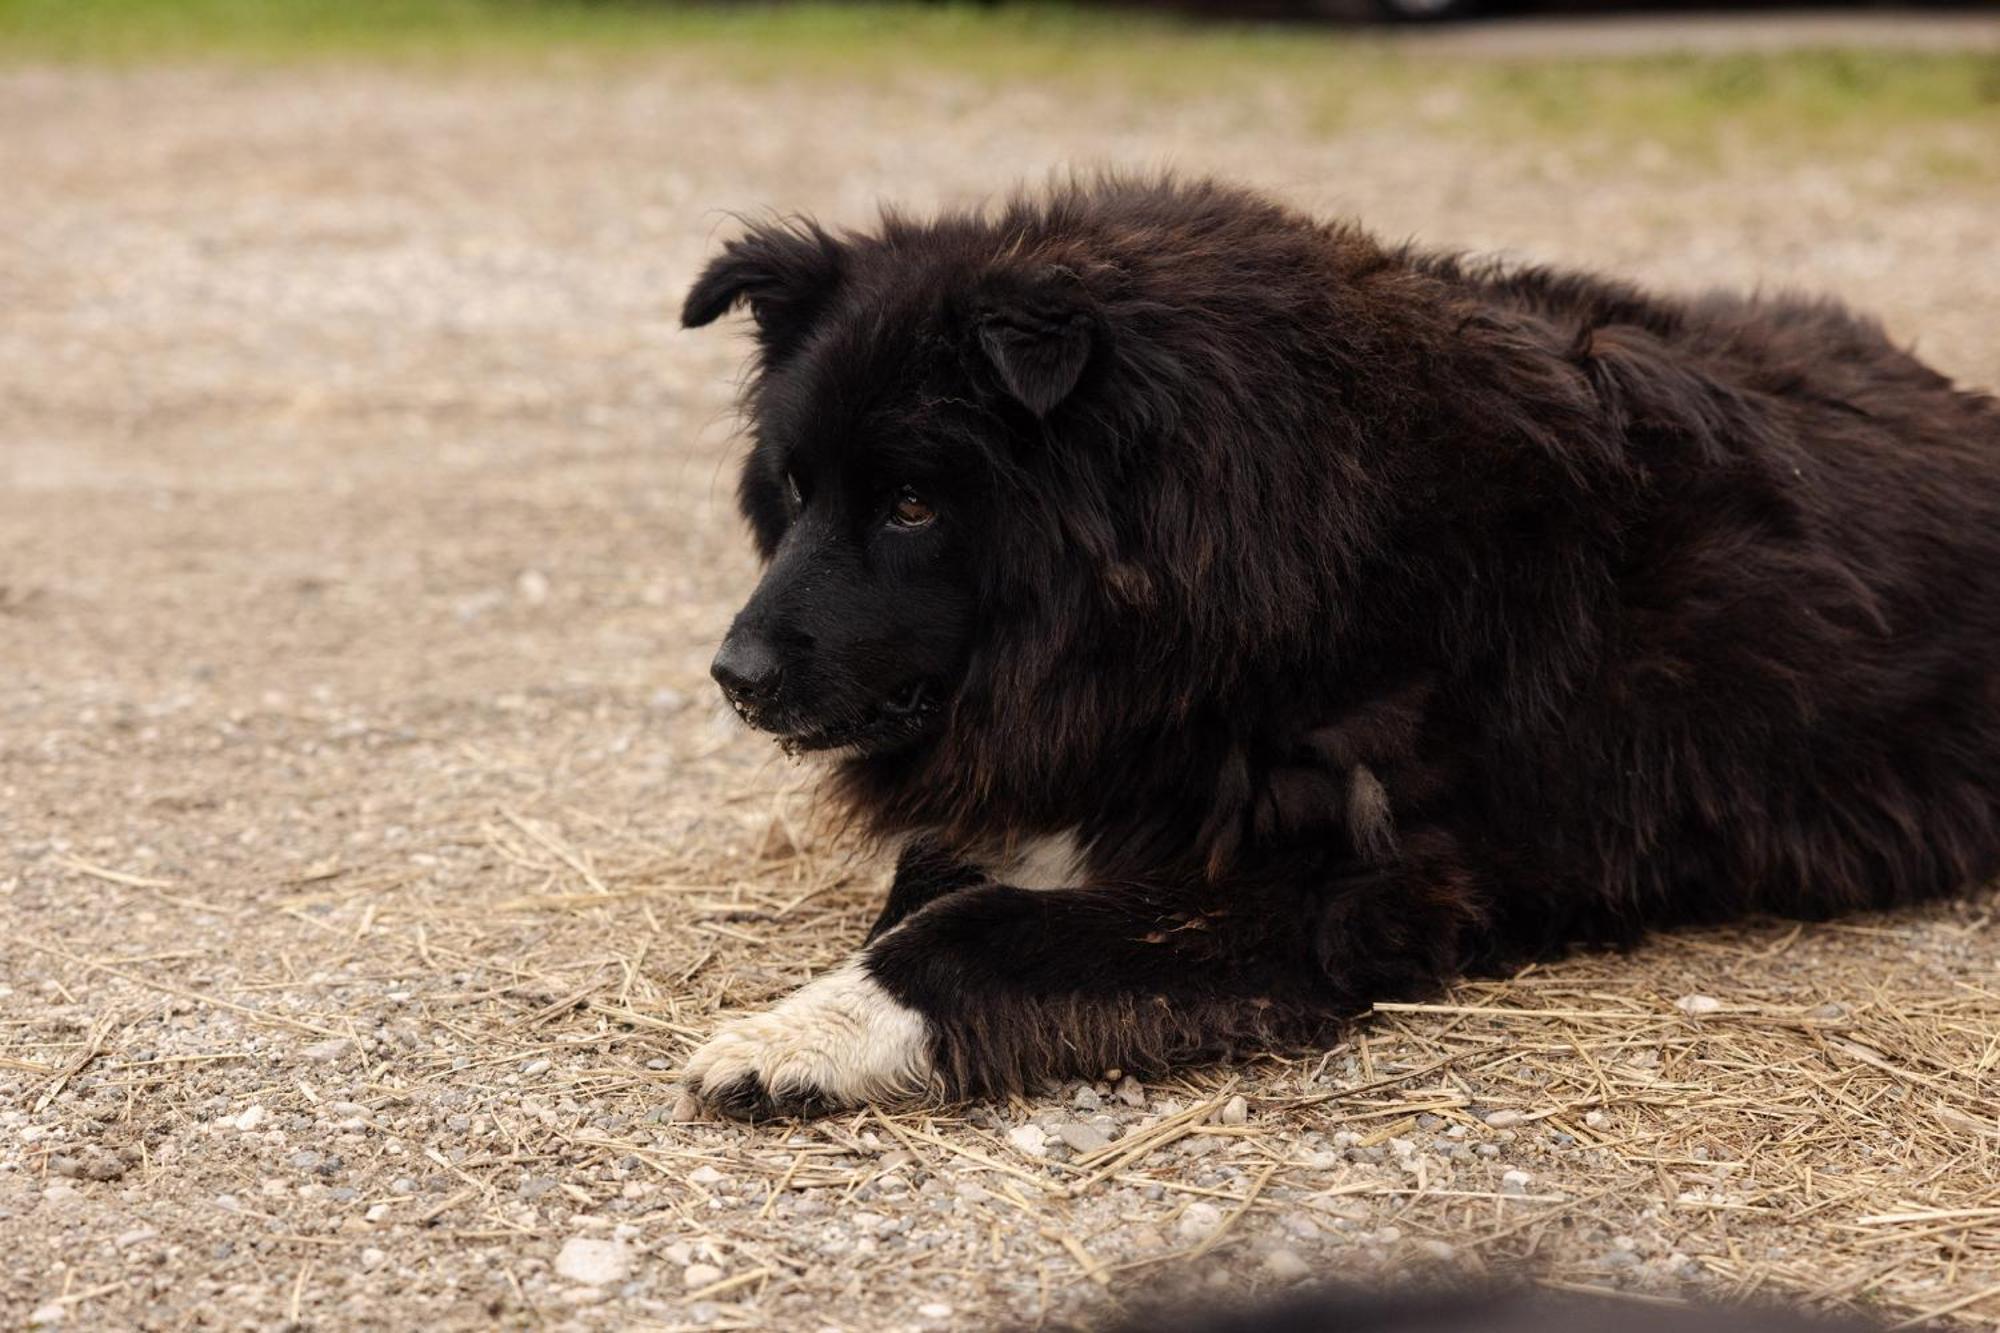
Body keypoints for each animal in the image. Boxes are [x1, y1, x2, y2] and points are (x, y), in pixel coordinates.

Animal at [676, 174, 2000, 1112]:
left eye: (910, 504)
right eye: (793, 490)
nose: (734, 679)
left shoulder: (1333, 883)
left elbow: (978, 927)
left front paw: (800, 1032)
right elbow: (932, 876)